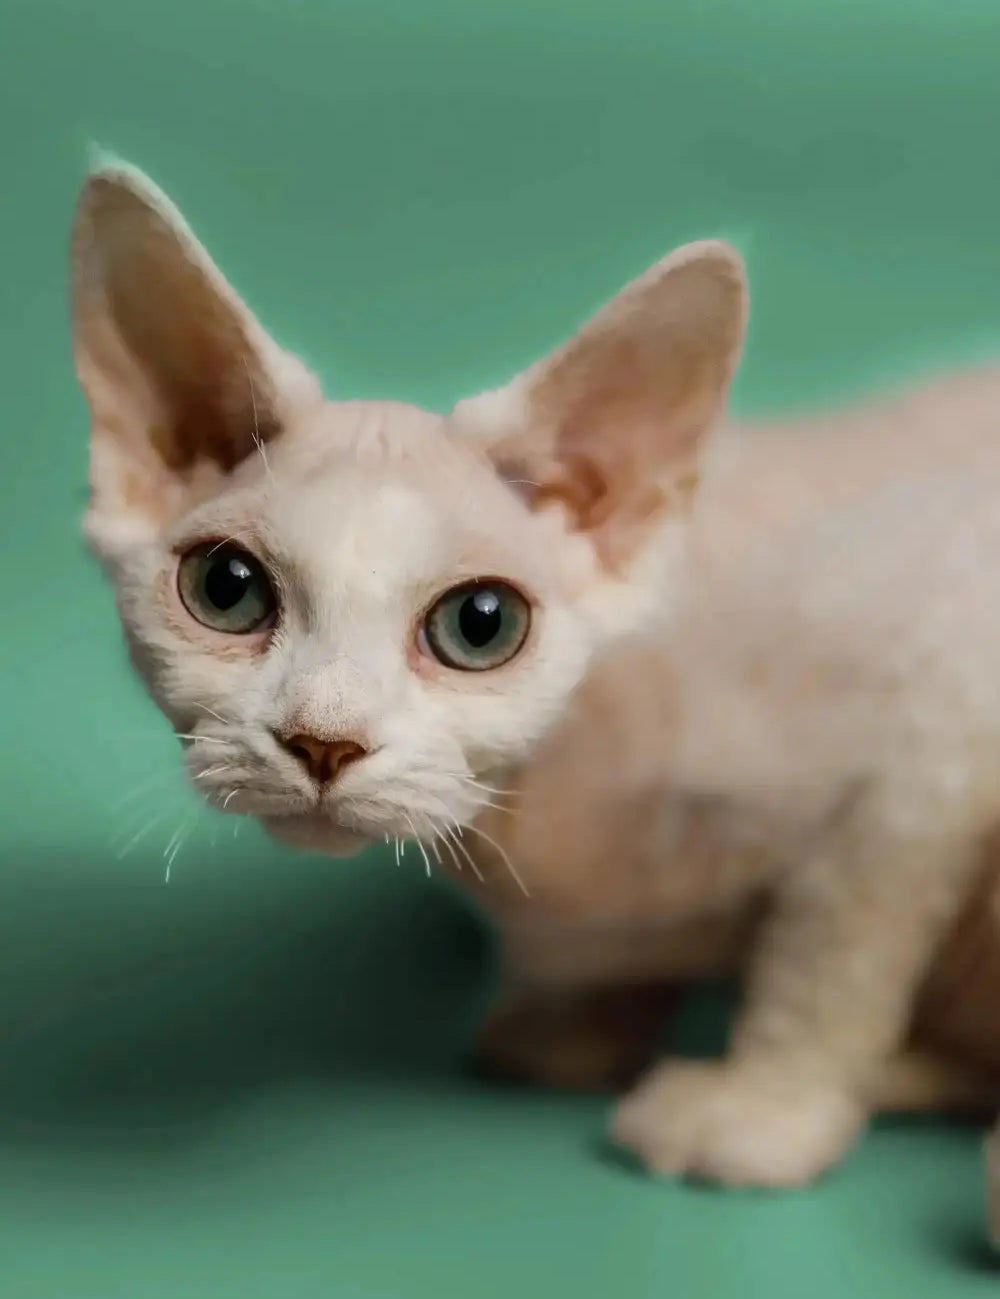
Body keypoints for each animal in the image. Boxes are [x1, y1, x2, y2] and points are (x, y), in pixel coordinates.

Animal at [72, 162, 997, 1226]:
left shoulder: (938, 722)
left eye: (481, 624)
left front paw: (764, 1109)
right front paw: (575, 1023)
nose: (323, 740)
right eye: (227, 589)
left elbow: (834, 951)